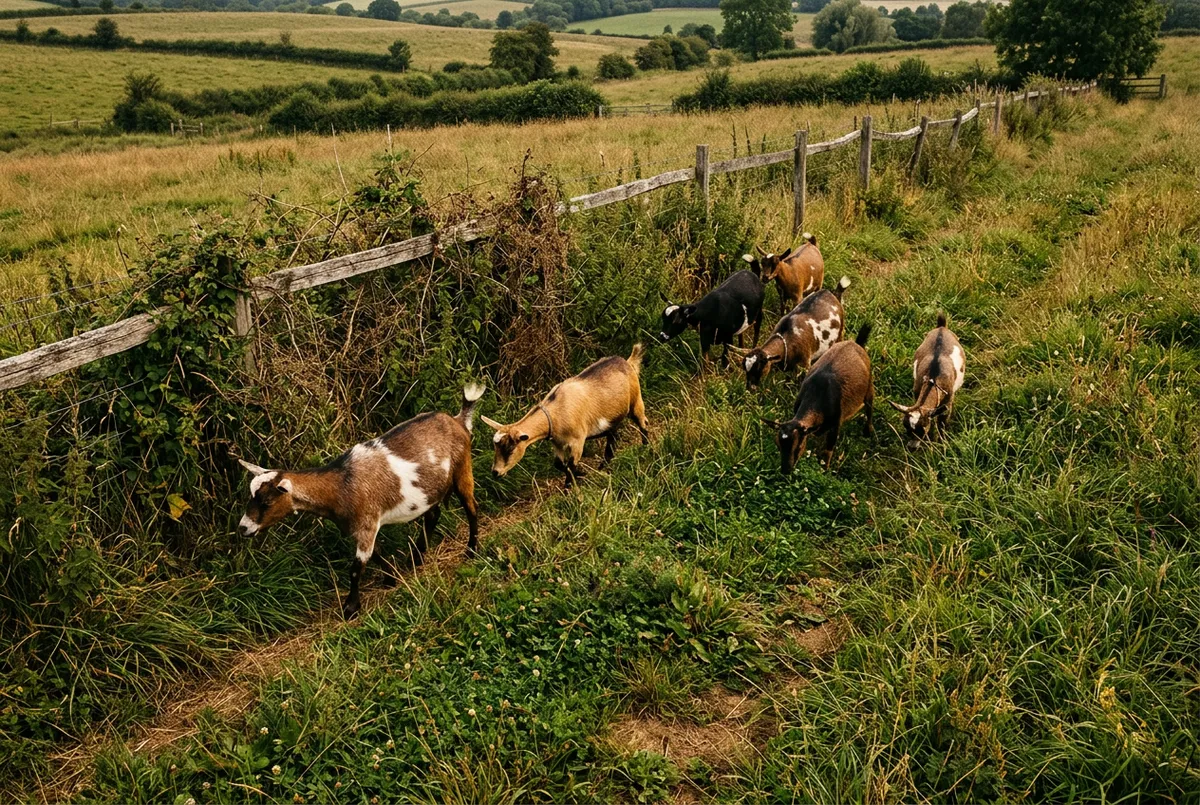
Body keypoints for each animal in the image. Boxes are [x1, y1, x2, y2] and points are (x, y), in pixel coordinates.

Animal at [236, 383, 485, 619]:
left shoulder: (366, 524)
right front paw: (390, 579)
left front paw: (351, 608)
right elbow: (376, 554)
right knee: (433, 514)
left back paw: (471, 550)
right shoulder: (361, 528)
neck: (340, 485)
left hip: (462, 468)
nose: (243, 528)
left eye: (267, 502)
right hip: (429, 490)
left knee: (471, 507)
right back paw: (416, 559)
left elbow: (356, 569)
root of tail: (457, 420)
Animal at [482, 344, 649, 489]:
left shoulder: (578, 441)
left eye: (510, 449)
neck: (556, 414)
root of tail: (627, 362)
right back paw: (603, 467)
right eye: (495, 447)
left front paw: (569, 488)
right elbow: (559, 464)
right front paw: (581, 474)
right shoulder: (558, 444)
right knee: (613, 438)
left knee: (643, 422)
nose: (495, 472)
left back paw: (646, 448)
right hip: (611, 420)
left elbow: (571, 465)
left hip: (636, 401)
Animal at [763, 323, 874, 473]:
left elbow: (828, 451)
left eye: (798, 446)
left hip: (869, 387)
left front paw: (824, 470)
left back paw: (868, 431)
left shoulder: (835, 424)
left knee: (869, 406)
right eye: (778, 444)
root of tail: (856, 344)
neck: (817, 394)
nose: (786, 470)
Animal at [889, 313, 965, 446]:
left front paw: (942, 443)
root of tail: (941, 327)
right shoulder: (917, 391)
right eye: (906, 428)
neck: (933, 379)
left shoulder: (947, 402)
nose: (911, 447)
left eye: (923, 428)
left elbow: (942, 425)